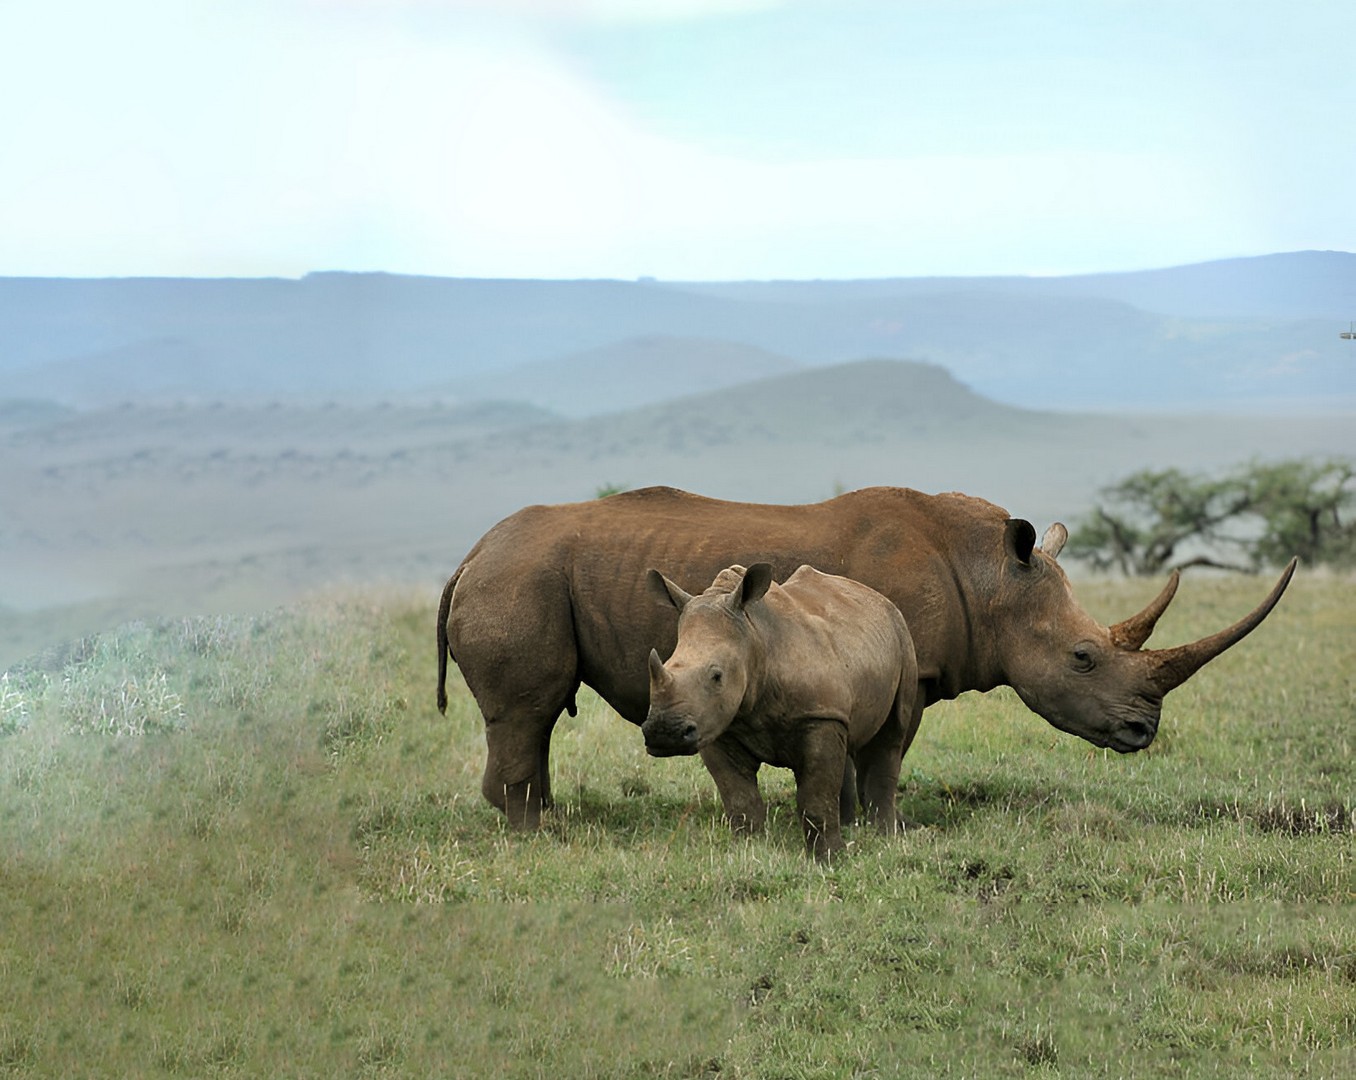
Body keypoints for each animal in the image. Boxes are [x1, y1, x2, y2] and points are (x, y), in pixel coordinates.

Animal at [437, 485, 1295, 828]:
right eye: (1084, 657)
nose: (1144, 733)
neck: (989, 578)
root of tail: (469, 553)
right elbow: (872, 755)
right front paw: (868, 824)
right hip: (519, 578)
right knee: (526, 710)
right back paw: (543, 835)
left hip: (524, 574)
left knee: (535, 719)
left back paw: (551, 822)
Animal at [644, 562, 919, 862]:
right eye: (666, 664)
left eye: (717, 676)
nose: (663, 733)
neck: (755, 638)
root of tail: (877, 597)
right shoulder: (717, 725)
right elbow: (739, 798)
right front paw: (747, 851)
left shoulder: (819, 715)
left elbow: (816, 797)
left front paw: (829, 859)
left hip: (903, 636)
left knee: (891, 734)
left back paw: (885, 838)